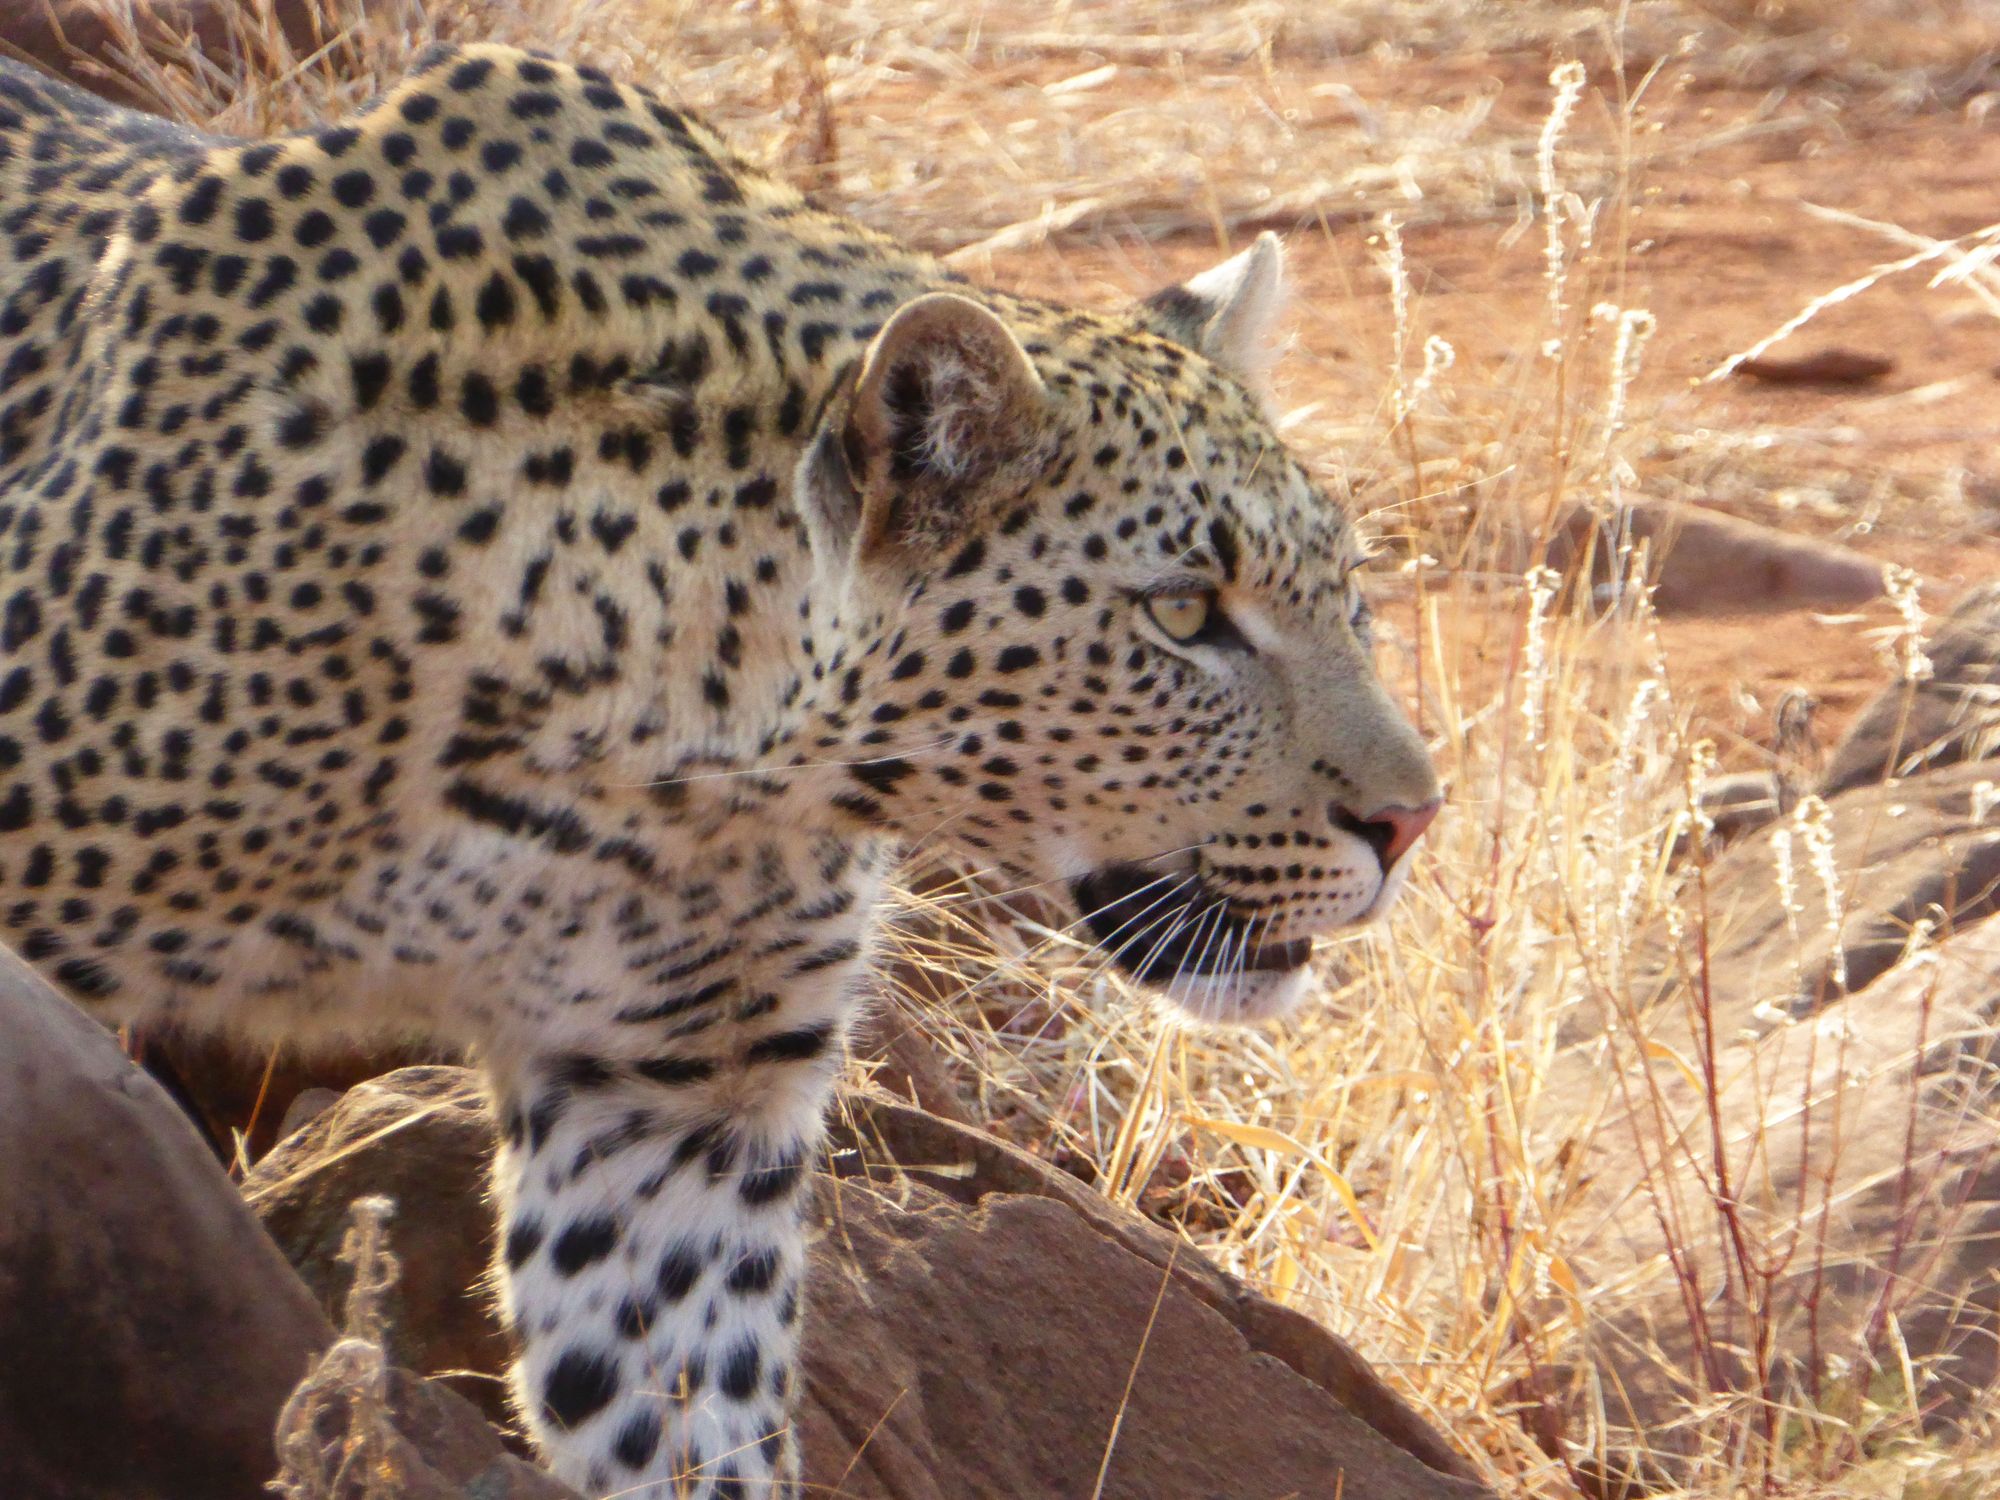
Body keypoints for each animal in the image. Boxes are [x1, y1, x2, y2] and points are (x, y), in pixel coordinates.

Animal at [0, 44, 1440, 1500]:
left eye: (1347, 595)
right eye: (1184, 613)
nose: (1410, 821)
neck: (671, 763)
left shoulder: (673, 1119)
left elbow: (687, 1419)